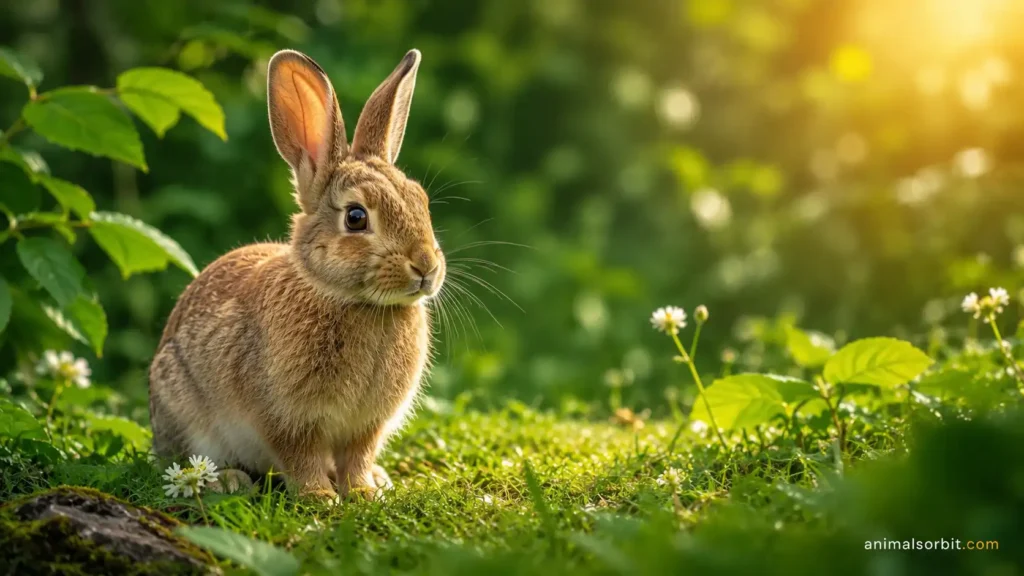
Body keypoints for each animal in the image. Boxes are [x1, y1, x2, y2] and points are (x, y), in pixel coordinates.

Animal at [148, 48, 444, 500]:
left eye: (421, 202)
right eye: (356, 217)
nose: (426, 266)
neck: (355, 301)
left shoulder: (366, 426)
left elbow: (358, 456)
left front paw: (364, 492)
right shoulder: (285, 417)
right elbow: (300, 457)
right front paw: (320, 498)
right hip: (184, 411)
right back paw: (228, 480)